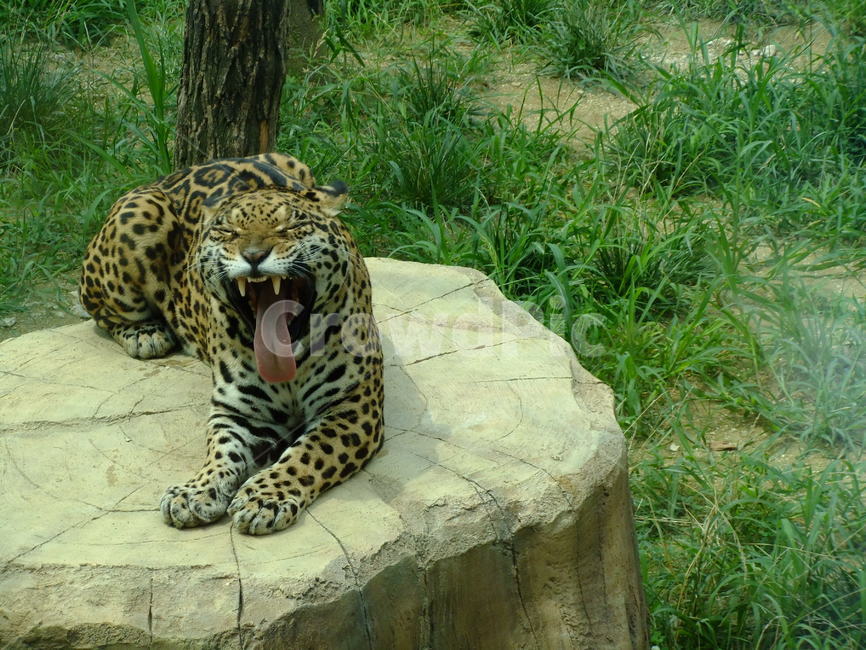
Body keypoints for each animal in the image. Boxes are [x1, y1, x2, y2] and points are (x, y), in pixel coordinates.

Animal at [79, 153, 384, 535]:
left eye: (288, 228)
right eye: (228, 232)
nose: (253, 254)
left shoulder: (353, 407)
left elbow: (308, 453)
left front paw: (265, 498)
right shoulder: (238, 411)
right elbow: (221, 450)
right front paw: (195, 491)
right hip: (136, 214)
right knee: (97, 308)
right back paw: (145, 334)